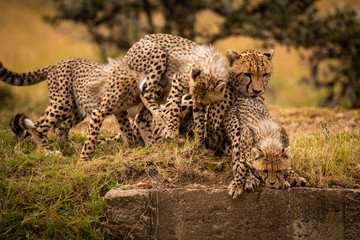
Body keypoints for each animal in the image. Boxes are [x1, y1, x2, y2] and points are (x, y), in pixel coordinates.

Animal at [0, 57, 148, 160]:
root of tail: (58, 63)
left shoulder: (120, 111)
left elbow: (127, 130)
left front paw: (133, 149)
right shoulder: (100, 111)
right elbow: (91, 139)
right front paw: (84, 160)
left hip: (77, 108)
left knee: (58, 128)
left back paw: (70, 146)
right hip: (63, 103)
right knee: (39, 126)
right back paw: (47, 152)